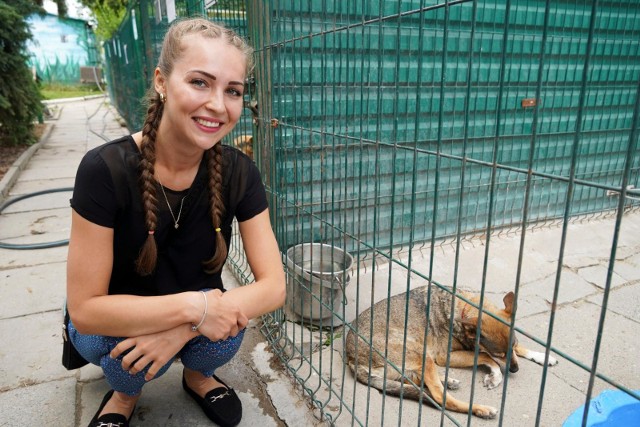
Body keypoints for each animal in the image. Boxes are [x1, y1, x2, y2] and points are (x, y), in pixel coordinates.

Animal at [342, 286, 556, 420]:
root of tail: (351, 357)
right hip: (424, 357)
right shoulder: (445, 357)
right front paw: (495, 375)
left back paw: (448, 381)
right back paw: (480, 409)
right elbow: (485, 356)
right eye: (499, 354)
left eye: (512, 346)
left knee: (420, 383)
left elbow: (519, 349)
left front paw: (542, 356)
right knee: (439, 397)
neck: (464, 307)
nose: (515, 370)